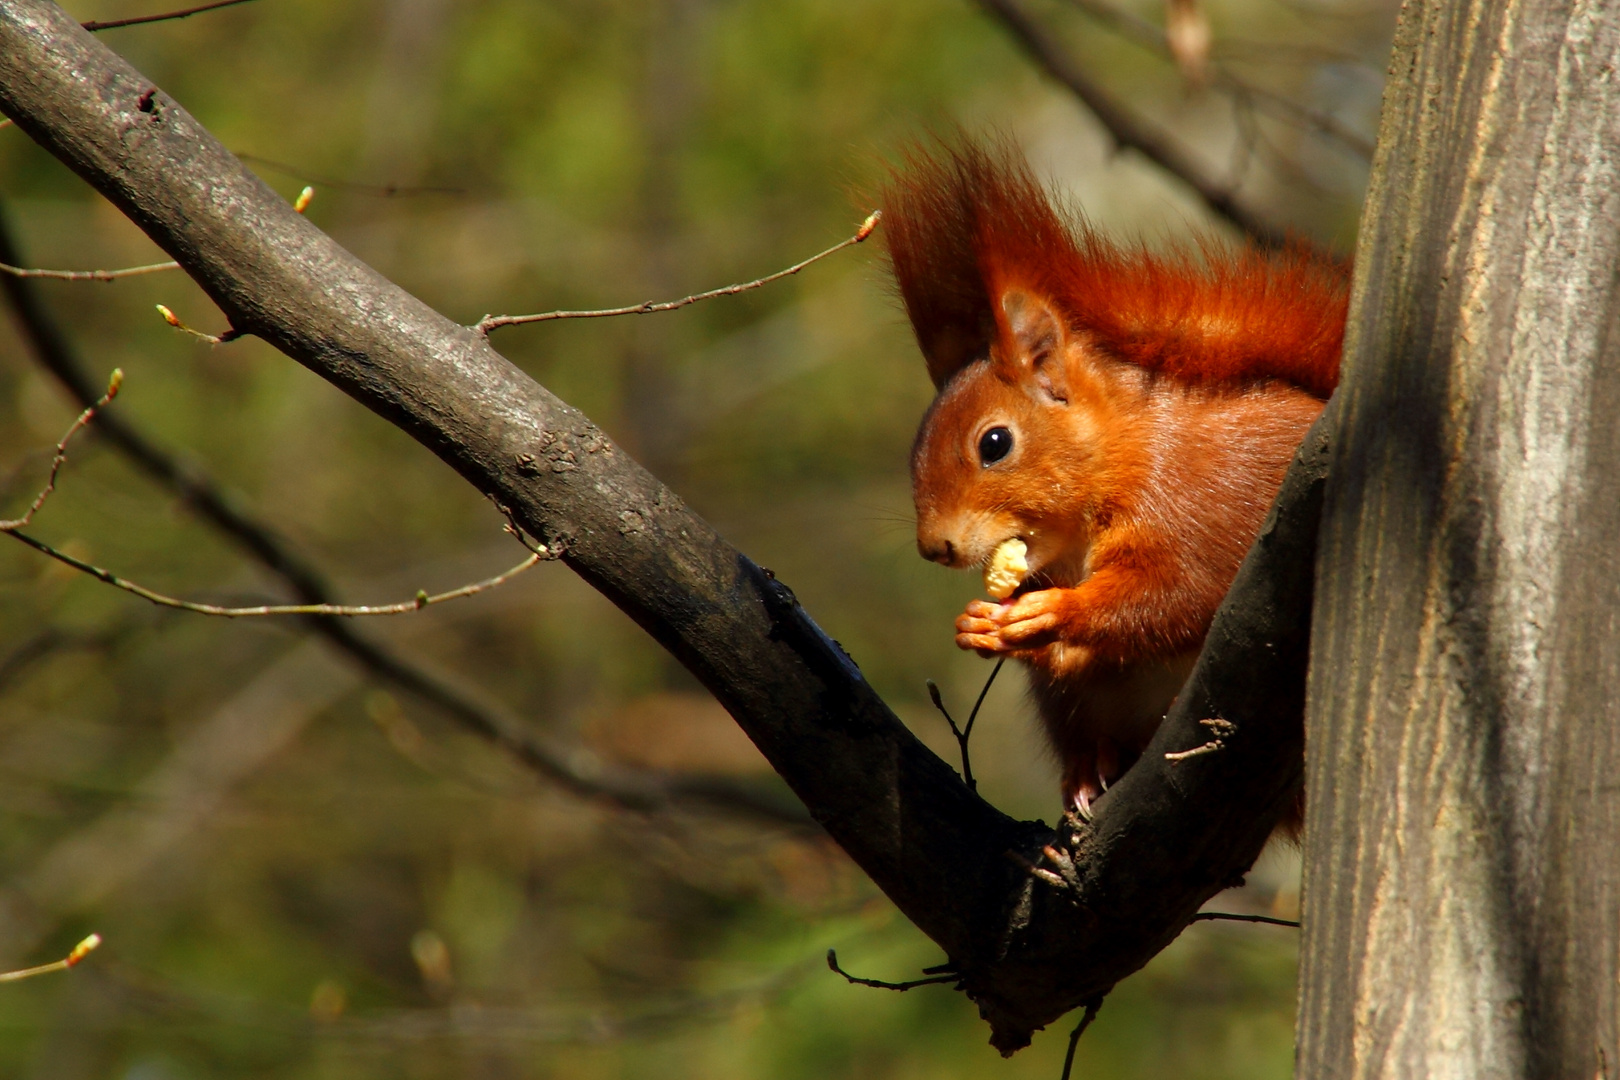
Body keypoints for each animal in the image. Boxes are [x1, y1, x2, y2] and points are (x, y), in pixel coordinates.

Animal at [881, 145, 1347, 819]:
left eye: (994, 444)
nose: (934, 547)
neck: (1127, 455)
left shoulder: (1197, 509)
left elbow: (1173, 594)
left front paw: (1055, 611)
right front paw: (983, 623)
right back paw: (1088, 769)